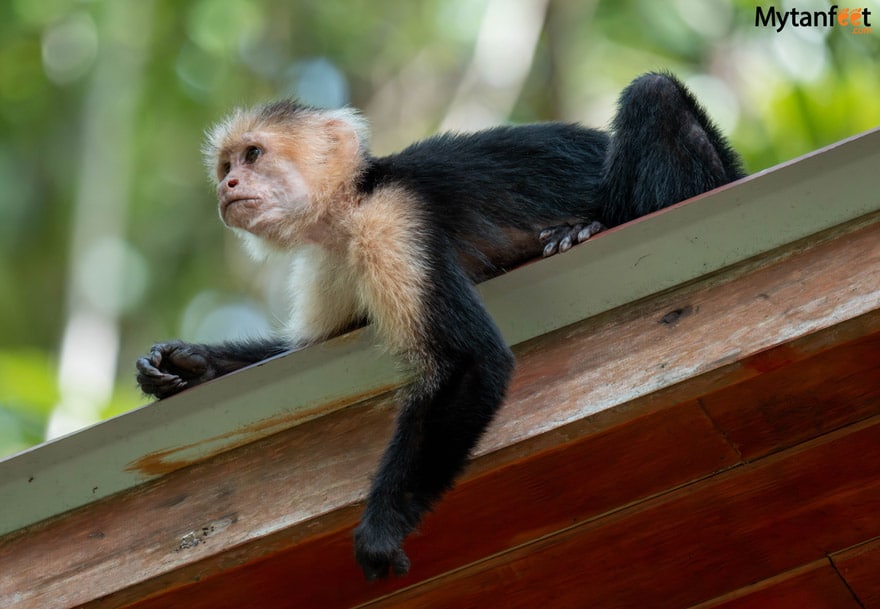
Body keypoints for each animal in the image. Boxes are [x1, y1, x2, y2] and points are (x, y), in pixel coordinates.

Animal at [136, 72, 744, 580]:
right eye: (226, 167)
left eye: (253, 154)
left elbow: (470, 362)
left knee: (654, 94)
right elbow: (301, 350)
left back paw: (588, 226)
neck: (346, 207)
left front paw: (380, 532)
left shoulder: (389, 224)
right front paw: (186, 363)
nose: (228, 185)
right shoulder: (331, 262)